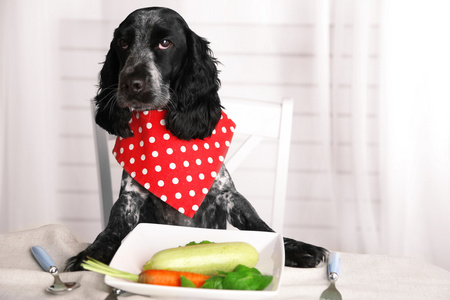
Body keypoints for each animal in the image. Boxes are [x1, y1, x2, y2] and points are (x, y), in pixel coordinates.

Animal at [66, 6, 326, 270]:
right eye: (123, 43)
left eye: (165, 43)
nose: (131, 83)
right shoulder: (130, 197)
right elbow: (111, 229)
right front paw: (91, 254)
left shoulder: (225, 193)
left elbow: (260, 226)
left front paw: (295, 247)